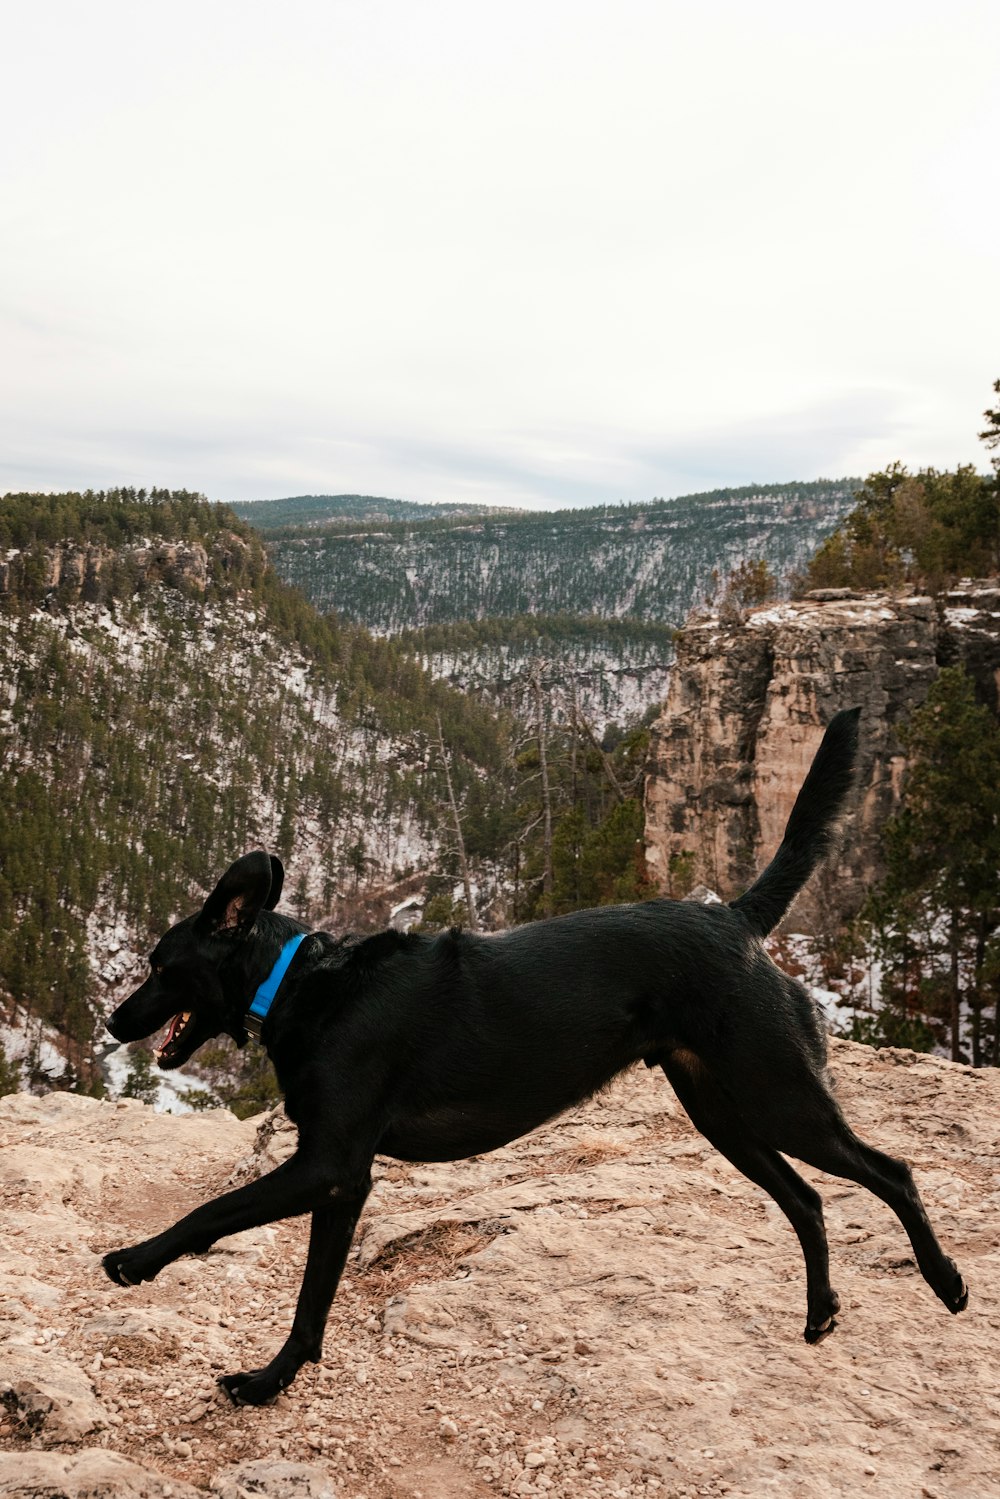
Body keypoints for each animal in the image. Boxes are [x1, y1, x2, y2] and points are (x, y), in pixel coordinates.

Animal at [103, 704, 971, 1403]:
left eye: (157, 964)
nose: (113, 1022)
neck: (301, 981)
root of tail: (735, 917)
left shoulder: (327, 1165)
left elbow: (213, 1211)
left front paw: (138, 1260)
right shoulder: (343, 1183)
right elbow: (311, 1300)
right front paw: (273, 1379)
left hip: (777, 1093)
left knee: (892, 1172)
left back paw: (947, 1282)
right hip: (722, 1111)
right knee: (808, 1199)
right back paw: (821, 1313)